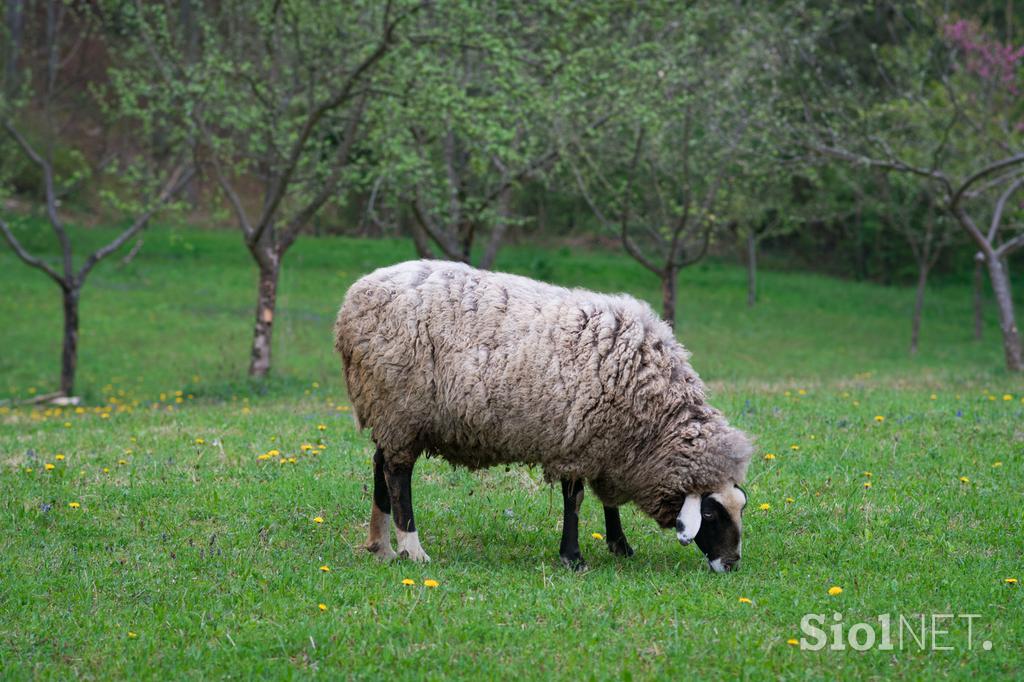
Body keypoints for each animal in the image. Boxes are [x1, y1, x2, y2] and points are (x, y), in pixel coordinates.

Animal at [333, 259, 753, 569]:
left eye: (740, 507)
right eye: (711, 515)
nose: (732, 563)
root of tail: (354, 298)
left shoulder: (609, 444)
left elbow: (609, 501)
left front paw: (619, 545)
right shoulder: (576, 440)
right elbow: (575, 500)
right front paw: (573, 557)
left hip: (387, 411)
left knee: (380, 464)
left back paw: (381, 545)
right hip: (401, 406)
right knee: (398, 475)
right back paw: (412, 548)